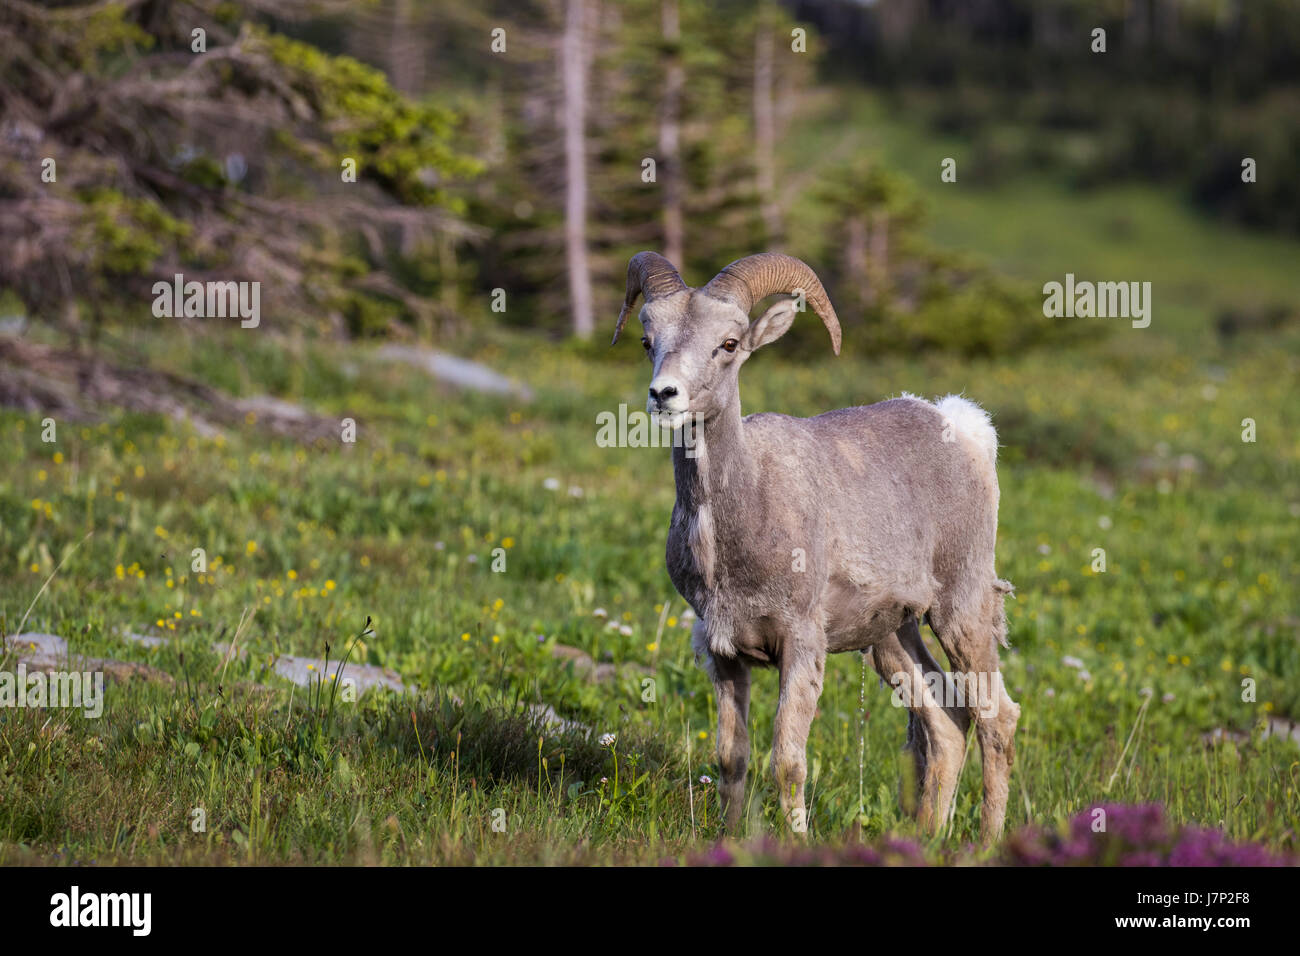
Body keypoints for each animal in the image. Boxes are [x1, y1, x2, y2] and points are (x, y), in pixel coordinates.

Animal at [613, 251, 1019, 842]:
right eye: (648, 341)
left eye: (729, 343)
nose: (664, 395)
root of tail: (961, 426)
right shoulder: (722, 653)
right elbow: (732, 758)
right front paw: (730, 839)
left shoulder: (800, 644)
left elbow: (788, 761)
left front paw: (797, 839)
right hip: (892, 638)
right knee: (946, 722)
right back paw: (926, 836)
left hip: (960, 613)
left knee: (996, 719)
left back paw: (985, 843)